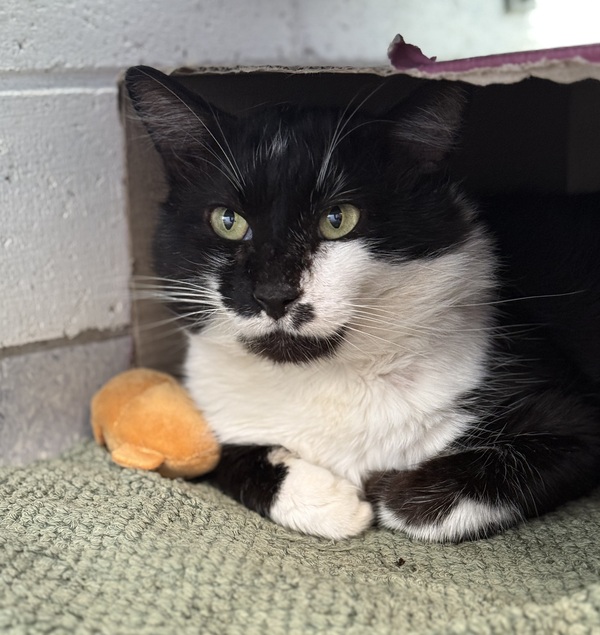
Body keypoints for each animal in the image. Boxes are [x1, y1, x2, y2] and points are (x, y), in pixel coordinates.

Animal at [125, 65, 600, 542]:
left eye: (338, 219)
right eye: (227, 220)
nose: (273, 294)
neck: (324, 379)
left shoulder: (571, 410)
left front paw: (391, 492)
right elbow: (223, 456)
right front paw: (329, 501)